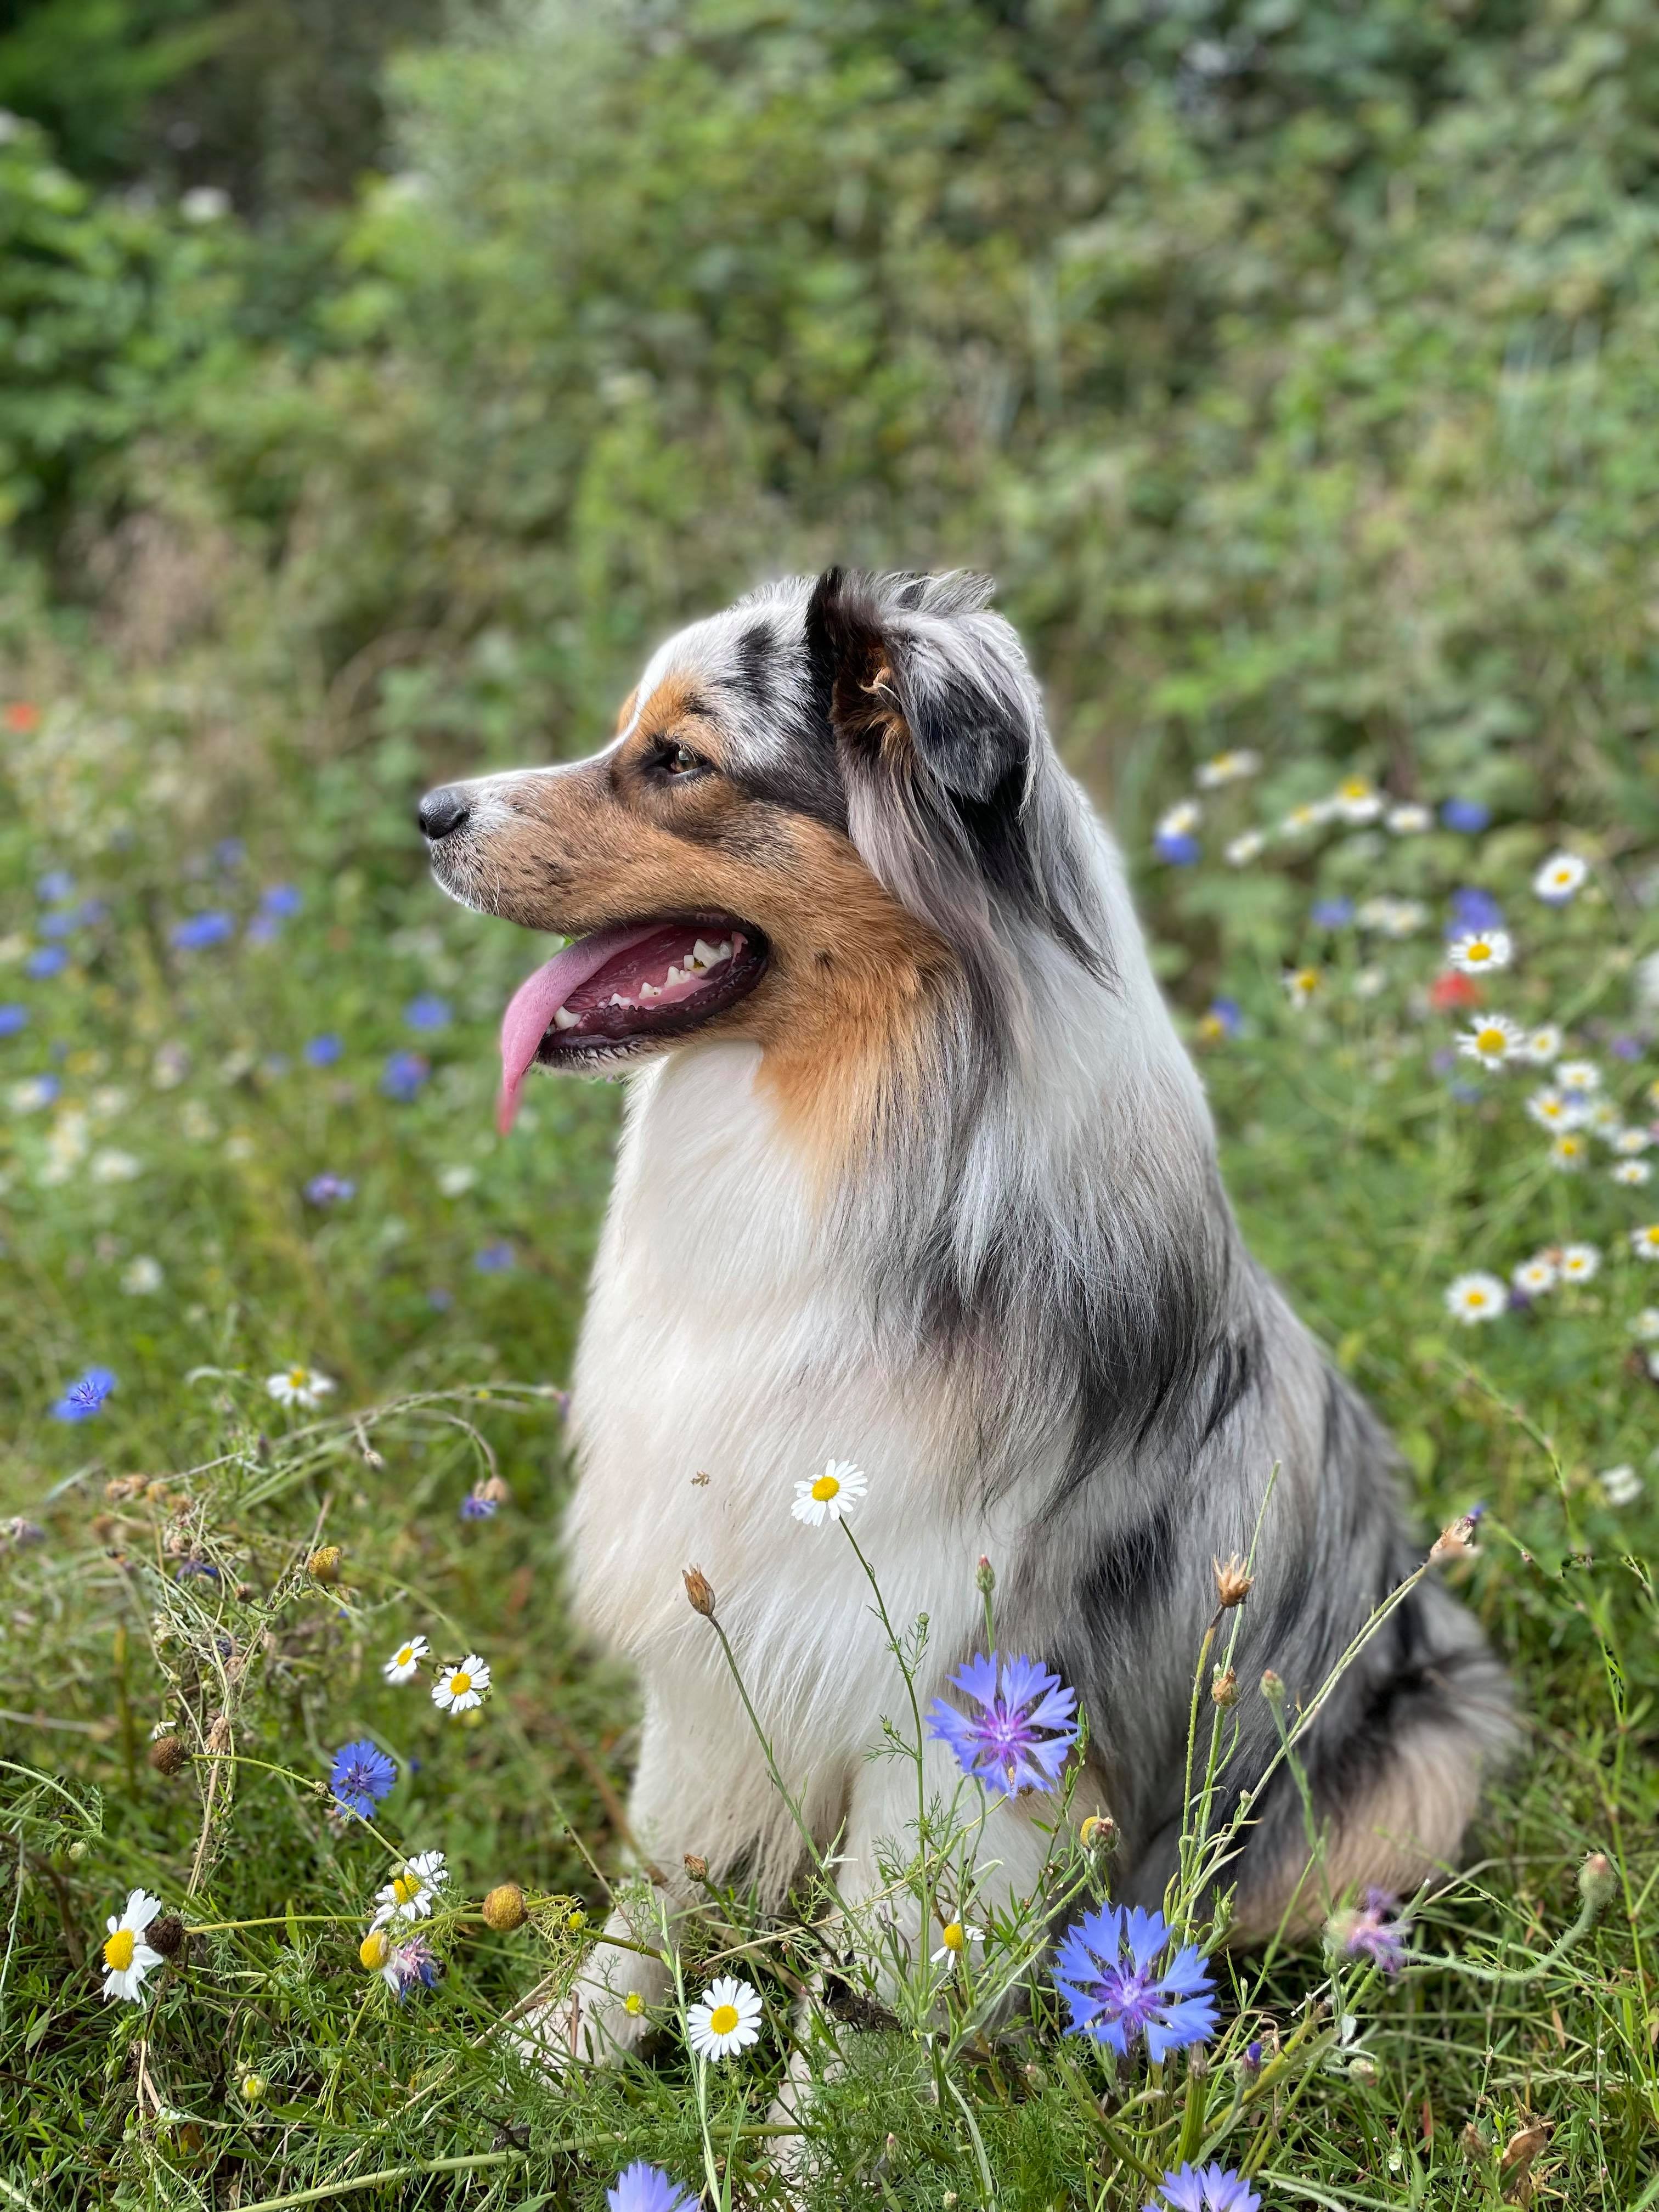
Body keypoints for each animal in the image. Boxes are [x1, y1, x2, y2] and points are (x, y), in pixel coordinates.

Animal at [418, 566, 1522, 2052]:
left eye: (679, 761)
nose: (431, 813)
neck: (849, 1119)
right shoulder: (717, 1615)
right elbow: (660, 1878)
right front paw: (559, 2057)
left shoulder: (969, 1697)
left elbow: (869, 1987)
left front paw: (807, 2115)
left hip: (1424, 1760)